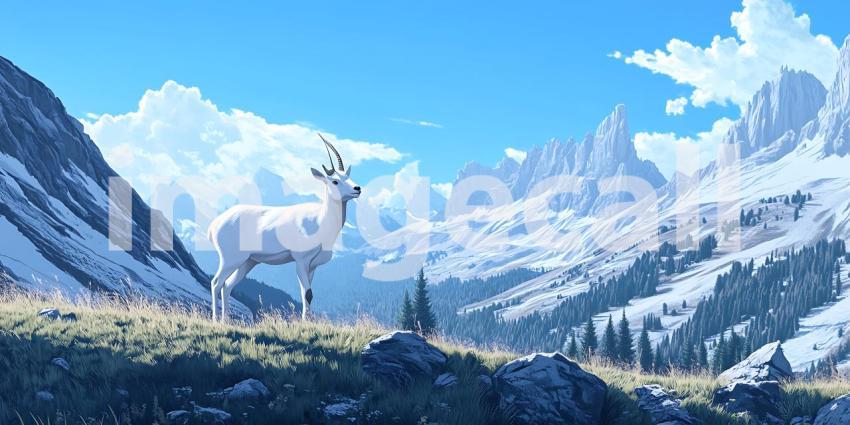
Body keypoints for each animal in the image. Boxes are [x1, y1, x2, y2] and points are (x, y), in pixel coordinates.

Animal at [207, 134, 361, 321]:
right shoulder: (301, 260)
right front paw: (305, 323)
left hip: (248, 261)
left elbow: (309, 294)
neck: (319, 221)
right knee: (216, 282)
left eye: (348, 176)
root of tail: (214, 224)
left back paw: (226, 320)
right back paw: (216, 320)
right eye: (335, 181)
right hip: (230, 259)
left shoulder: (313, 265)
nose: (357, 188)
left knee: (227, 285)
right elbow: (307, 293)